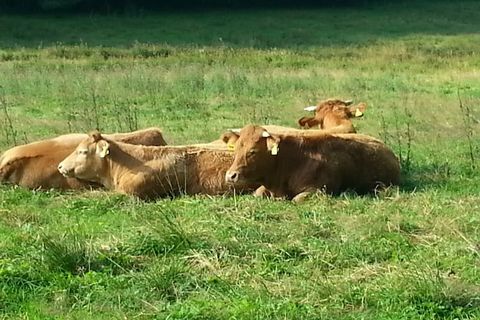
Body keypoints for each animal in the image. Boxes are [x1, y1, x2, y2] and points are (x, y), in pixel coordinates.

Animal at [225, 125, 402, 202]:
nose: (231, 175)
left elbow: (296, 200)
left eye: (252, 151)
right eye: (236, 150)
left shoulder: (318, 190)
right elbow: (257, 193)